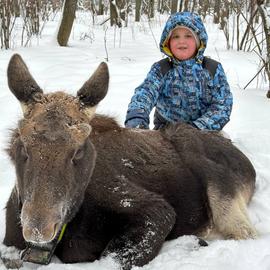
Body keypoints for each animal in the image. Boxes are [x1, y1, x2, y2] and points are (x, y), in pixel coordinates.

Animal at [3, 53, 258, 268]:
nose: (38, 228)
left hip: (221, 196)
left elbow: (113, 258)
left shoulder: (157, 212)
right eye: (22, 144)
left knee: (245, 232)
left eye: (78, 150)